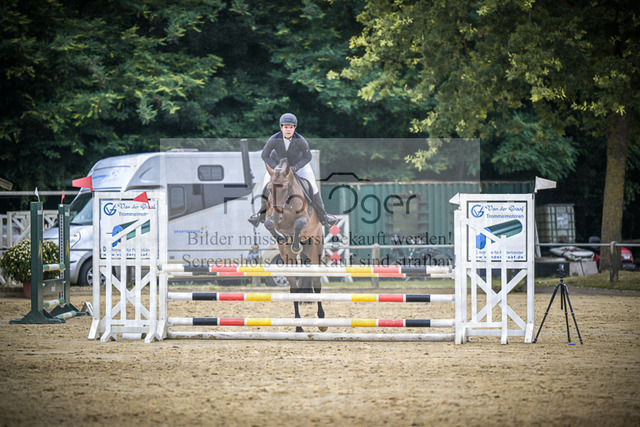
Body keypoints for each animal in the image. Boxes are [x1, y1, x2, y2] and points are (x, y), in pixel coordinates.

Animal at [263, 159, 326, 333]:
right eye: (269, 189)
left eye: (285, 188)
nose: (277, 215)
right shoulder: (272, 218)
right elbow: (269, 223)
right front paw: (281, 237)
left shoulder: (304, 220)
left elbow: (298, 224)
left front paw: (295, 243)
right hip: (287, 259)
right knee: (293, 288)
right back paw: (298, 326)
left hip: (315, 251)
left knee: (316, 283)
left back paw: (322, 321)